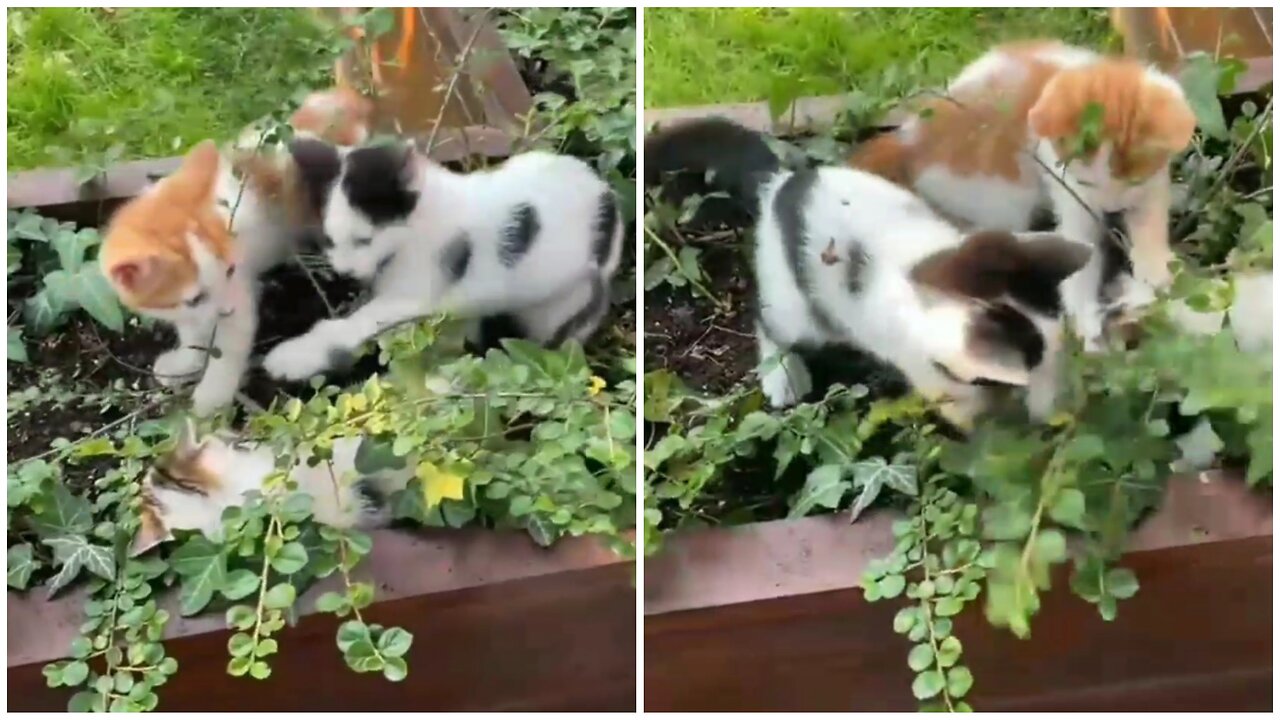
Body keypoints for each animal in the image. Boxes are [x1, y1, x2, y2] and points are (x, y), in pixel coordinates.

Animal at [101, 88, 373, 415]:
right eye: (195, 298)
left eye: (230, 270)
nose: (226, 309)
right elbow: (193, 331)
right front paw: (186, 362)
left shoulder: (239, 293)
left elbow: (229, 346)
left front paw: (211, 400)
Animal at [259, 140, 619, 384]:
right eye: (330, 241)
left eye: (364, 240)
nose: (345, 272)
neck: (410, 234)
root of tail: (608, 196)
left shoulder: (417, 290)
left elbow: (359, 323)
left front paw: (293, 357)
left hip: (569, 298)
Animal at [650, 119, 1090, 425]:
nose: (1061, 408)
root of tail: (781, 183)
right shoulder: (924, 369)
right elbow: (963, 411)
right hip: (796, 305)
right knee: (766, 318)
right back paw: (784, 377)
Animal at [849, 40, 1198, 348]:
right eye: (1085, 183)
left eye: (1131, 178)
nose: (1111, 209)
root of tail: (906, 140)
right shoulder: (1066, 188)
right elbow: (1081, 252)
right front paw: (1087, 329)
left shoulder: (1152, 188)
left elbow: (1150, 236)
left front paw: (1159, 282)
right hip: (999, 199)